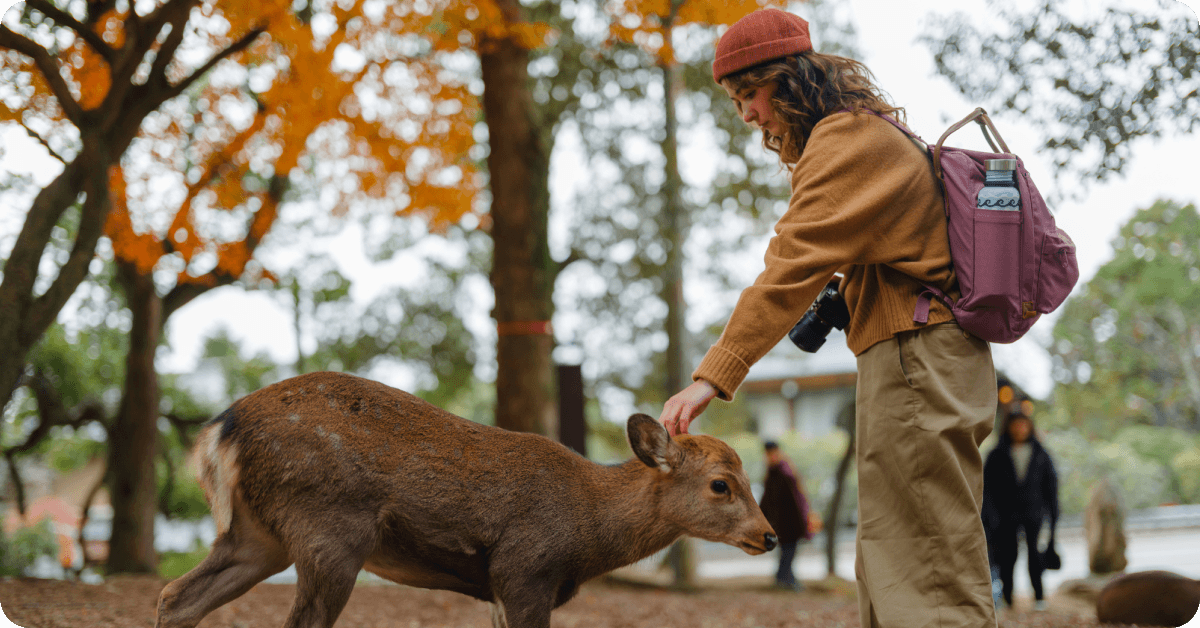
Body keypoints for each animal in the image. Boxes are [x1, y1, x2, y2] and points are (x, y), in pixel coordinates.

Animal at [154, 371, 777, 628]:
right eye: (721, 483)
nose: (769, 535)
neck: (586, 533)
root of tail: (221, 429)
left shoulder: (500, 587)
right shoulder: (525, 569)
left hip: (258, 535)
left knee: (176, 597)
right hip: (329, 529)